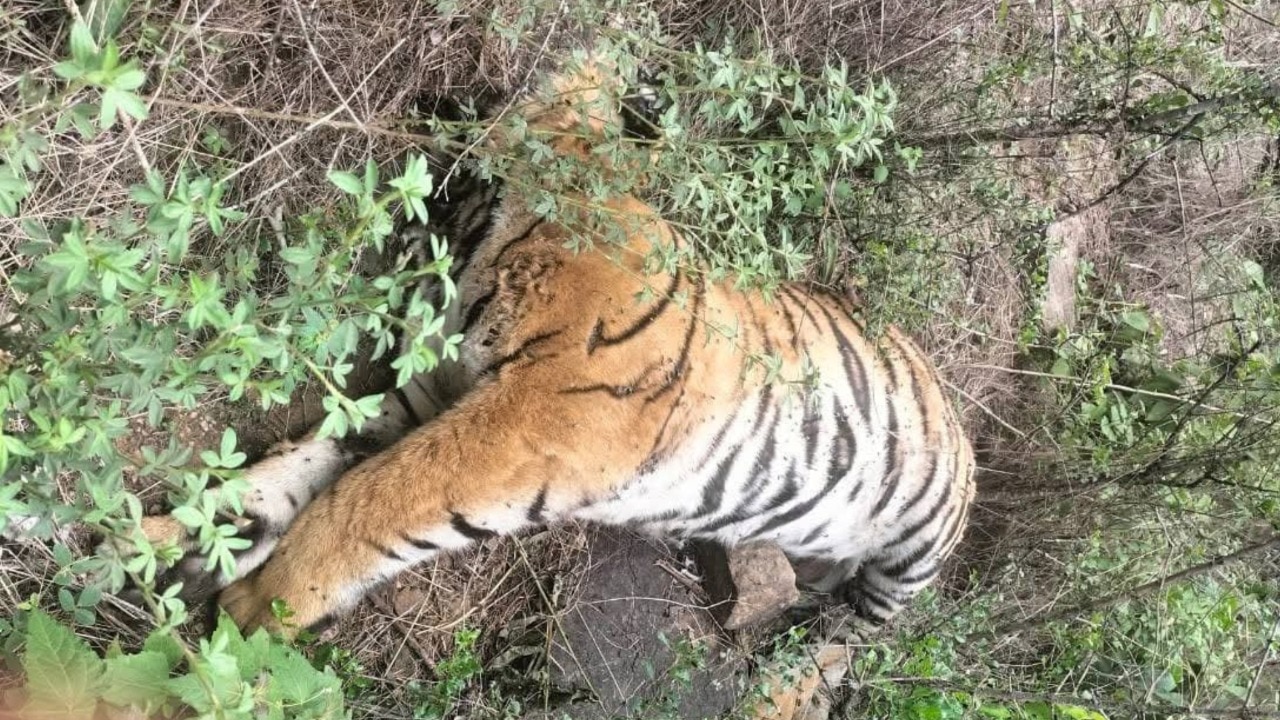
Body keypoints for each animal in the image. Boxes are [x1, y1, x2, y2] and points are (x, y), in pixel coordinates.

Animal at [124, 54, 976, 638]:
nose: (437, 95)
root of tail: (958, 413)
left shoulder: (522, 427)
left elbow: (364, 500)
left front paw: (261, 607)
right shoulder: (432, 394)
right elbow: (304, 467)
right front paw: (165, 541)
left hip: (907, 566)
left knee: (850, 629)